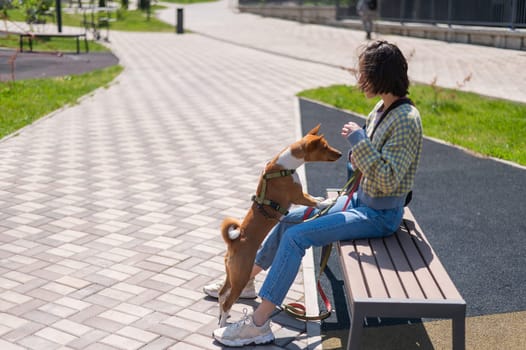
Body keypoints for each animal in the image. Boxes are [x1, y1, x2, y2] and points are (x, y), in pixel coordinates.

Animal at [218, 123, 342, 326]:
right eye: (324, 147)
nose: (340, 153)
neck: (284, 166)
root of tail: (234, 241)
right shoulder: (296, 195)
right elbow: (312, 202)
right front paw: (325, 202)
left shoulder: (300, 194)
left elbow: (311, 197)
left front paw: (320, 198)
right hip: (241, 276)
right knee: (227, 301)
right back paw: (222, 325)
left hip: (231, 275)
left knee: (221, 297)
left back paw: (221, 319)